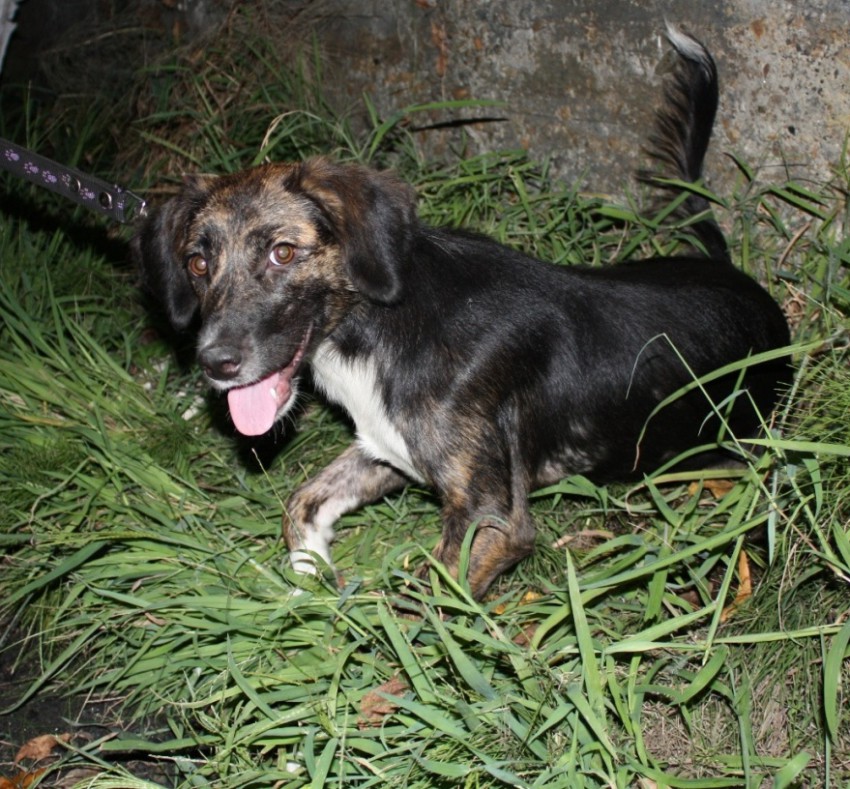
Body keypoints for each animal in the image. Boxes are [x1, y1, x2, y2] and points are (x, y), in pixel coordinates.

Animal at [133, 27, 790, 599]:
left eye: (283, 252)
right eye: (197, 263)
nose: (214, 364)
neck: (378, 328)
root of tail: (735, 275)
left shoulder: (490, 516)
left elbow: (417, 615)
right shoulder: (386, 448)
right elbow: (302, 502)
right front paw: (310, 583)